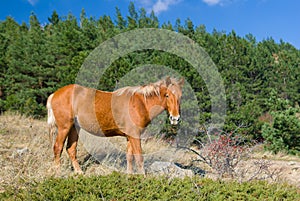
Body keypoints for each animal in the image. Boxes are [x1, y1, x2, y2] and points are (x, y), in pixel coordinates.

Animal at [47, 77, 184, 174]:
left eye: (180, 96)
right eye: (167, 95)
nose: (175, 118)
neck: (140, 103)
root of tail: (54, 94)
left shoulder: (130, 136)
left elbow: (129, 157)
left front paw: (130, 175)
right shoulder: (135, 136)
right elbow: (139, 158)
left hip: (74, 128)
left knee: (71, 149)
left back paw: (79, 172)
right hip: (64, 127)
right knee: (58, 148)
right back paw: (58, 173)